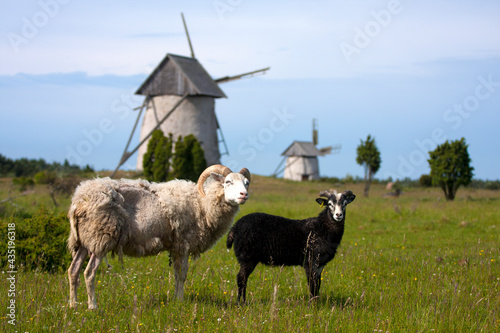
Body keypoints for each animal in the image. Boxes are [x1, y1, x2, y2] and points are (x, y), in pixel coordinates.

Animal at [67, 164, 250, 308]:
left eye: (246, 183)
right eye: (228, 182)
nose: (244, 195)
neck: (202, 202)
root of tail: (79, 200)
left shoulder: (176, 247)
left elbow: (176, 274)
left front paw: (176, 300)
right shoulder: (182, 244)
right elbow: (182, 274)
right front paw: (180, 301)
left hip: (84, 241)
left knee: (73, 270)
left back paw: (73, 305)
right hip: (101, 238)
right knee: (89, 273)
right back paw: (93, 307)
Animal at [227, 189, 356, 300]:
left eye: (345, 203)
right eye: (329, 204)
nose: (338, 215)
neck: (322, 228)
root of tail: (235, 227)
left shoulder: (320, 264)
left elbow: (317, 285)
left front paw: (317, 302)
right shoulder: (310, 262)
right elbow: (312, 285)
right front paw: (312, 305)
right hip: (247, 257)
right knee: (241, 279)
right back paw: (241, 302)